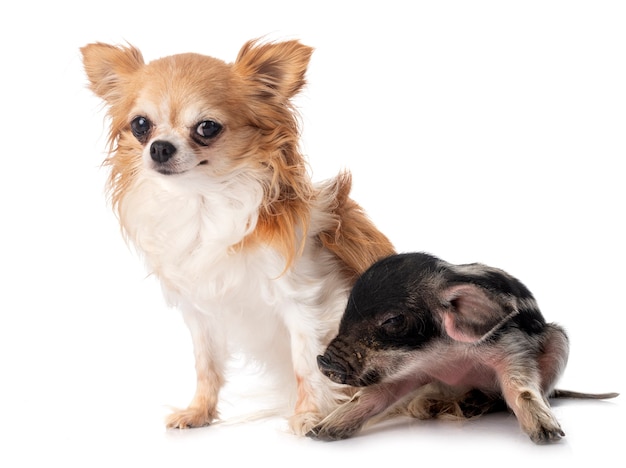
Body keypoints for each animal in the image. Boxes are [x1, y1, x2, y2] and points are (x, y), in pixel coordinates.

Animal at [308, 252, 616, 442]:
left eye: (393, 320)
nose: (324, 361)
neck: (448, 359)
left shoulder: (511, 346)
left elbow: (521, 387)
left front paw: (548, 435)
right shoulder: (407, 371)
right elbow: (369, 398)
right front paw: (317, 433)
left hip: (559, 340)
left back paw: (469, 408)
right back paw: (427, 408)